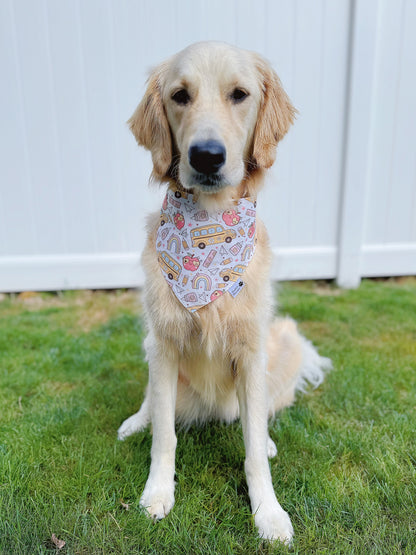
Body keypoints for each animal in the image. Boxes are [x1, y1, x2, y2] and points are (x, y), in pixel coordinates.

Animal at [118, 41, 332, 544]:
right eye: (180, 95)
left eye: (240, 94)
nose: (206, 156)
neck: (210, 227)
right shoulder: (165, 343)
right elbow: (164, 436)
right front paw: (157, 493)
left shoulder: (251, 350)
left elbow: (251, 448)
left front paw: (268, 512)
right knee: (153, 404)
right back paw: (136, 420)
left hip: (279, 344)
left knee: (259, 415)